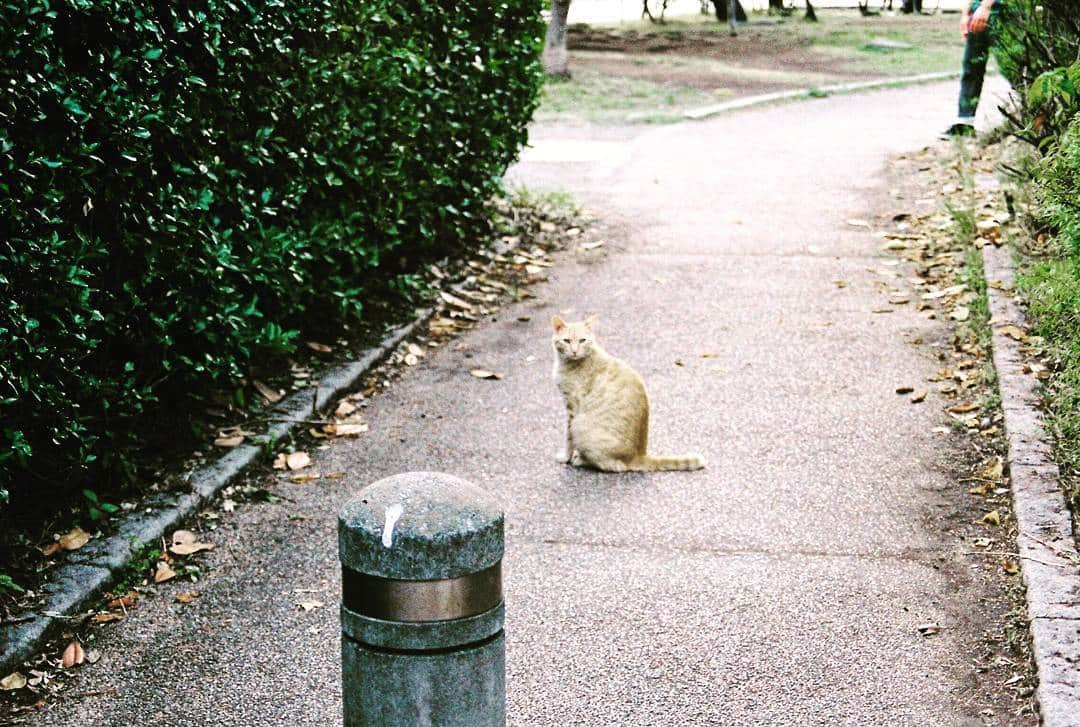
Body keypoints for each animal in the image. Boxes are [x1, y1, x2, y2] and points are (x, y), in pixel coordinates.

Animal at [552, 315, 704, 473]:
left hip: (581, 425)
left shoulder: (572, 409)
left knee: (612, 465)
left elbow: (568, 438)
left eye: (582, 340)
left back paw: (582, 459)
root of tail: (638, 455)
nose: (574, 351)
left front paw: (566, 457)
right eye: (567, 341)